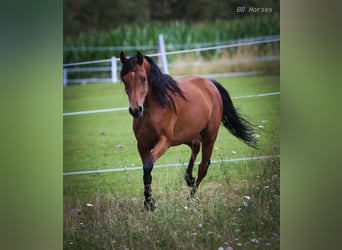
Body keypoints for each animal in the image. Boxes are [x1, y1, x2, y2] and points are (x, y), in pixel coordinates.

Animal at [119, 51, 255, 211]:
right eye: (124, 80)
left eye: (144, 78)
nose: (135, 110)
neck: (153, 107)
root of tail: (210, 83)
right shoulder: (142, 144)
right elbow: (147, 171)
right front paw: (149, 203)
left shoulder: (164, 141)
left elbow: (148, 166)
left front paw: (149, 204)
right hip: (187, 135)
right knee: (195, 147)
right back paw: (189, 178)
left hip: (209, 136)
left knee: (204, 165)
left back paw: (190, 199)